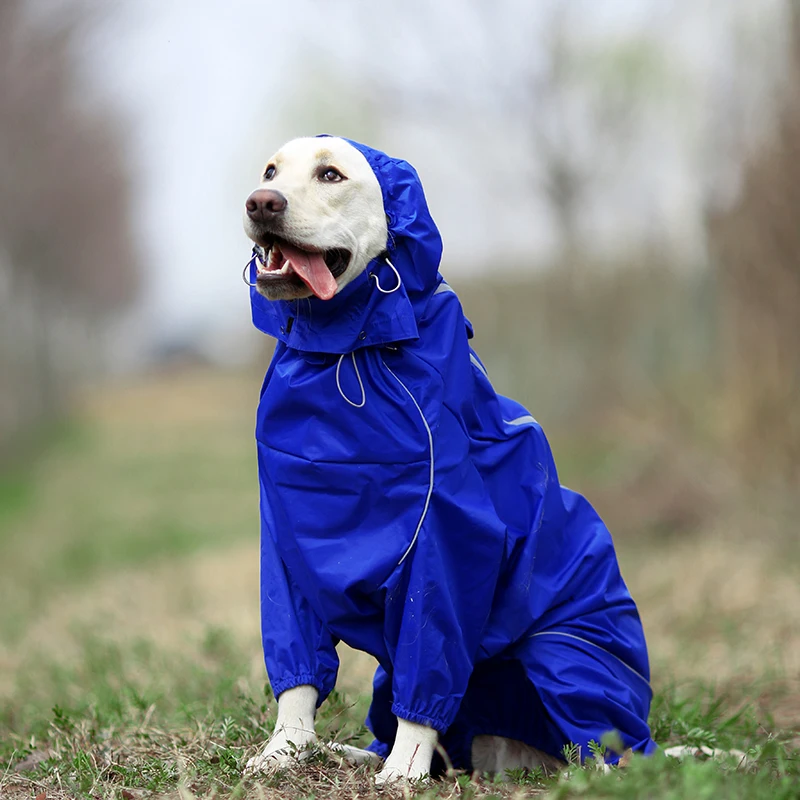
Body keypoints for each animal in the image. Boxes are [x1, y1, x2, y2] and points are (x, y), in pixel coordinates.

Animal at [241, 136, 652, 780]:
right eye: (270, 171)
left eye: (331, 175)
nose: (261, 201)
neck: (340, 355)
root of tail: (517, 760)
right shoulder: (286, 549)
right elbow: (297, 680)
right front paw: (285, 750)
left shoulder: (446, 547)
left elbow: (428, 661)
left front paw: (402, 772)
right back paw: (350, 752)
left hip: (565, 656)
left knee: (604, 753)